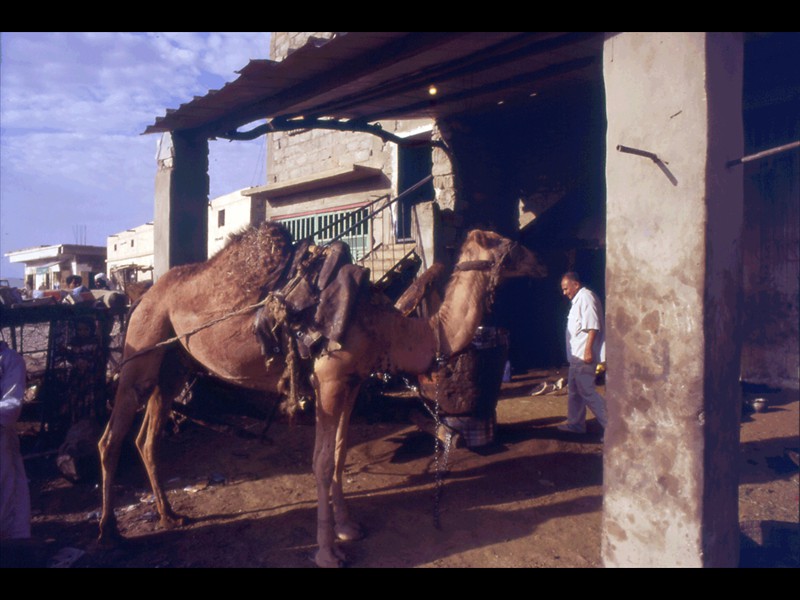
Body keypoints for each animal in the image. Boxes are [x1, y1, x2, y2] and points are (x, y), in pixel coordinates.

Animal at [94, 221, 544, 568]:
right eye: (508, 244)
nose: (541, 262)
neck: (387, 326)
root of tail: (142, 295)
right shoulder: (328, 379)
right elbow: (323, 462)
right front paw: (328, 552)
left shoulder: (353, 381)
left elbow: (342, 453)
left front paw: (348, 527)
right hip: (141, 348)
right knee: (111, 438)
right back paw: (108, 533)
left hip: (174, 364)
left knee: (146, 437)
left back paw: (170, 515)